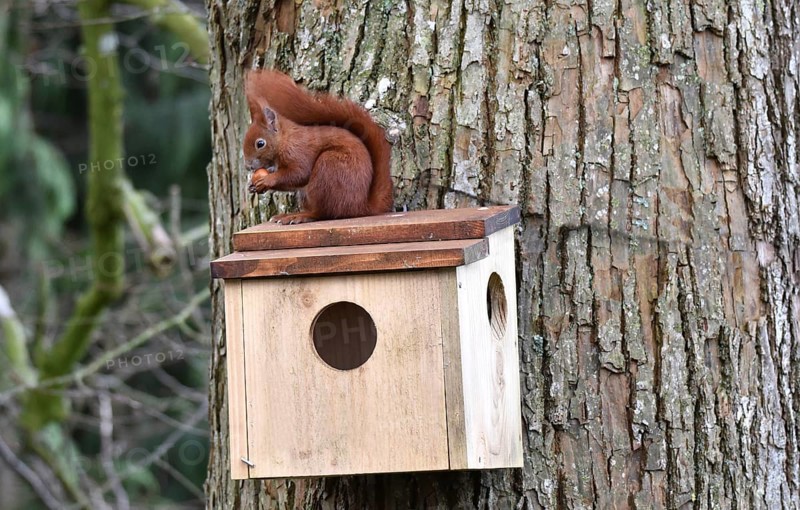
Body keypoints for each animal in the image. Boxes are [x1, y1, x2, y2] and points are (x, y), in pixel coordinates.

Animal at [243, 69, 394, 224]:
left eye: (260, 143)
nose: (248, 166)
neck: (285, 140)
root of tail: (360, 206)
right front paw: (253, 185)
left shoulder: (299, 151)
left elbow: (299, 174)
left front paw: (267, 180)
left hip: (328, 167)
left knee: (322, 213)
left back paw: (299, 216)